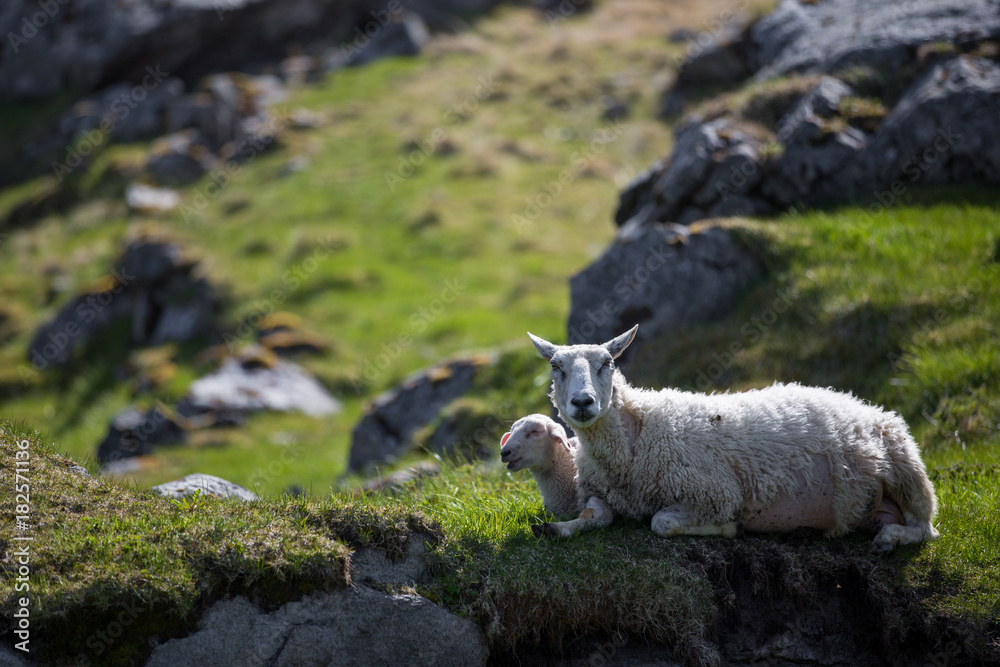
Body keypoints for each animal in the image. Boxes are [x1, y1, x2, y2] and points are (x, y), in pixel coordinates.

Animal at [528, 324, 940, 552]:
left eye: (608, 363)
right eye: (555, 367)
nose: (583, 402)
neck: (635, 436)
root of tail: (864, 404)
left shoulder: (713, 492)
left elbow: (661, 522)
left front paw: (731, 528)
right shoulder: (601, 493)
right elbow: (592, 516)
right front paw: (555, 529)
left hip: (907, 469)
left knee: (926, 529)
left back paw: (890, 540)